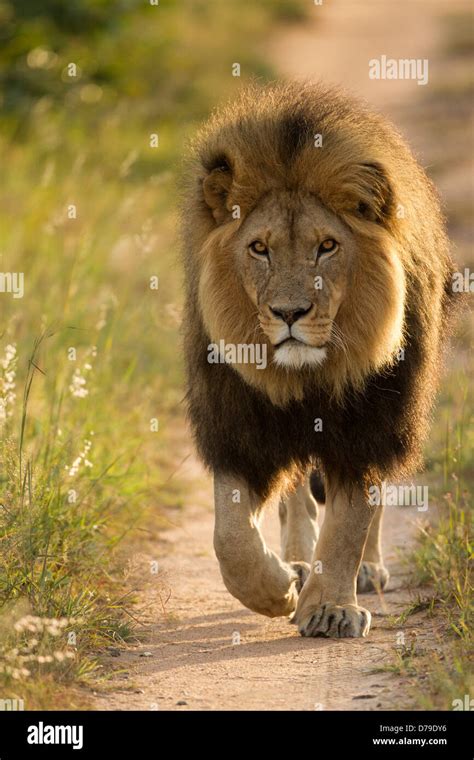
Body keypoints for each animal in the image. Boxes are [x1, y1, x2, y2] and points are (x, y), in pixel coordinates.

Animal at [180, 80, 458, 640]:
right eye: (259, 248)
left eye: (327, 246)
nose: (289, 313)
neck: (308, 373)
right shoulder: (238, 422)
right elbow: (230, 538)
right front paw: (278, 589)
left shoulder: (372, 420)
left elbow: (350, 521)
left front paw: (330, 608)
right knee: (296, 498)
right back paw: (296, 562)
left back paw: (366, 571)